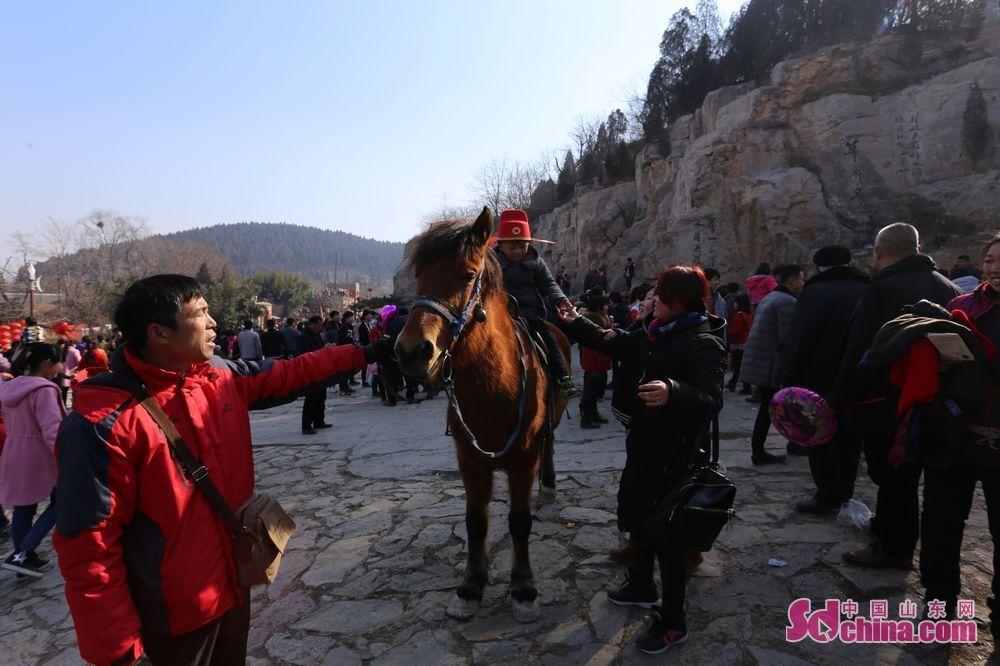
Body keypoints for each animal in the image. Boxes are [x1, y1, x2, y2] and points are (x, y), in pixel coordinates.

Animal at [398, 209, 572, 624]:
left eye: (466, 275)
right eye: (420, 275)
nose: (412, 351)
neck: (494, 386)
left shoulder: (523, 460)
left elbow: (519, 522)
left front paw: (523, 589)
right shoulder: (470, 461)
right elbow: (476, 523)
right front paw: (471, 587)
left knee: (550, 445)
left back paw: (549, 486)